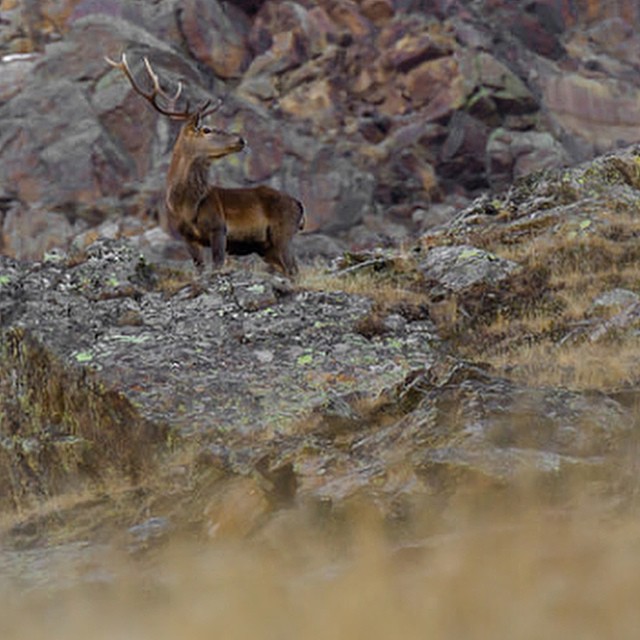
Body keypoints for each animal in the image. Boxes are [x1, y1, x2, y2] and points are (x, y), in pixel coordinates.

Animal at [105, 53, 305, 277]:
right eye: (206, 129)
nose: (241, 139)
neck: (185, 206)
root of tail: (299, 205)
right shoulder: (186, 236)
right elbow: (200, 268)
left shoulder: (219, 227)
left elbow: (217, 264)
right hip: (267, 246)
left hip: (283, 231)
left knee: (295, 270)